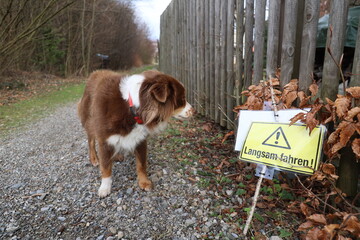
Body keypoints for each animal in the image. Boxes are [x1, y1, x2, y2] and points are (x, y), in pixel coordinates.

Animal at [77, 69, 193, 197]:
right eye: (182, 99)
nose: (193, 110)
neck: (132, 107)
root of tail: (94, 73)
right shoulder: (104, 139)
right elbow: (106, 166)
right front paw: (105, 187)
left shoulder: (140, 139)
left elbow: (141, 163)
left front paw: (144, 182)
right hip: (90, 119)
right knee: (91, 140)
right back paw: (94, 159)